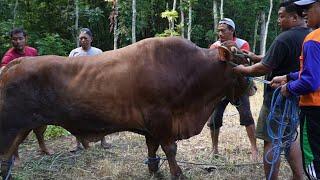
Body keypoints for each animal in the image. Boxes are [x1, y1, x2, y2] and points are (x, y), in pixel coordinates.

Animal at [0, 36, 250, 179]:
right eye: (239, 64)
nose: (253, 88)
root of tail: (14, 64)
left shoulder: (152, 125)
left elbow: (152, 148)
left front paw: (154, 170)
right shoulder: (161, 118)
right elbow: (170, 149)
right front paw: (177, 174)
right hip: (10, 128)